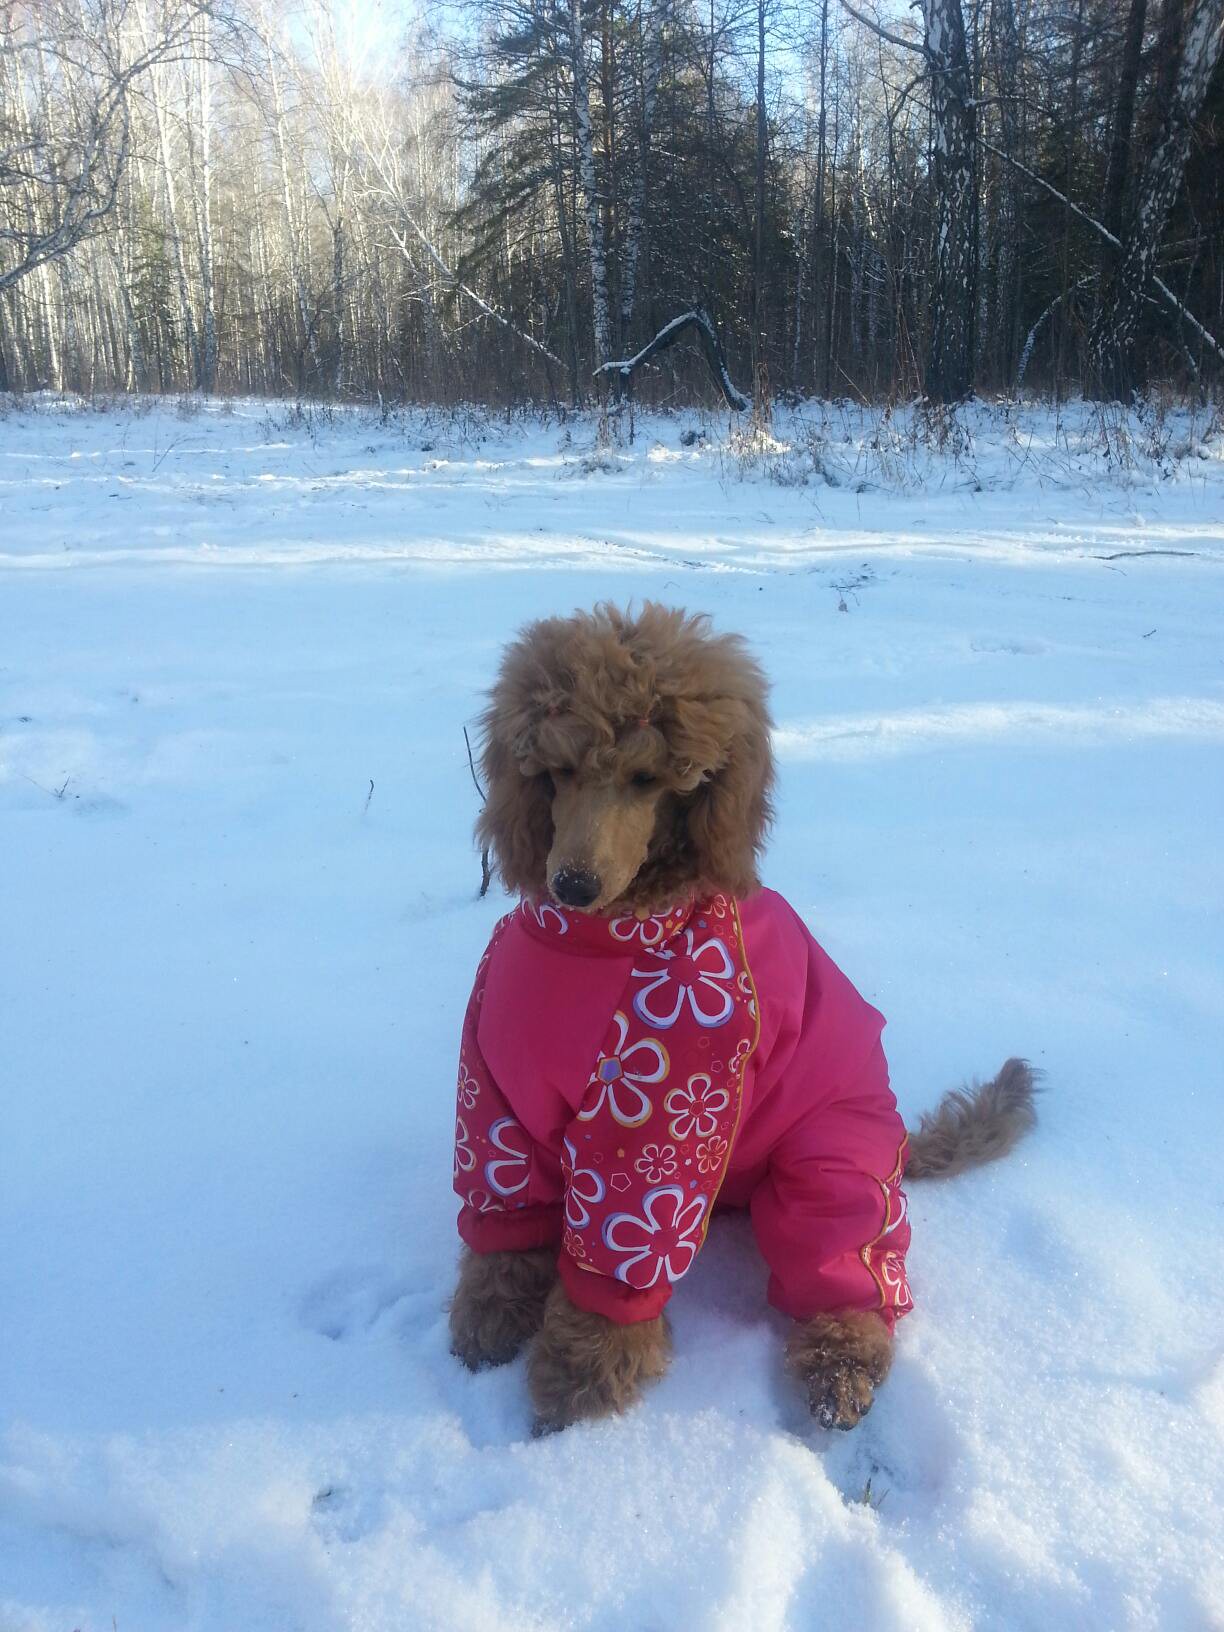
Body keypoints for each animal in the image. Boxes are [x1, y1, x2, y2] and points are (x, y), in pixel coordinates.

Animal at [449, 603, 1036, 1433]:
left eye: (647, 780)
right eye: (555, 773)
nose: (572, 883)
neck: (597, 942)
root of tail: (898, 1143)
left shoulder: (658, 1124)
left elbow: (616, 1270)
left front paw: (576, 1389)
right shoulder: (496, 1098)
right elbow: (503, 1221)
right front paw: (489, 1322)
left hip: (831, 1167)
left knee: (854, 1278)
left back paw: (840, 1372)